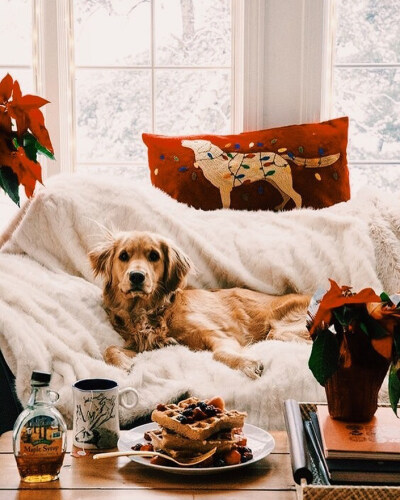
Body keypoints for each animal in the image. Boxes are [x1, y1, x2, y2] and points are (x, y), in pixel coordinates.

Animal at [89, 230, 310, 378]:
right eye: (123, 256)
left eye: (154, 256)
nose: (136, 276)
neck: (152, 309)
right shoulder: (145, 346)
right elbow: (109, 349)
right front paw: (122, 365)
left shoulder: (217, 334)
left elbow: (219, 353)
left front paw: (246, 363)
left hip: (282, 330)